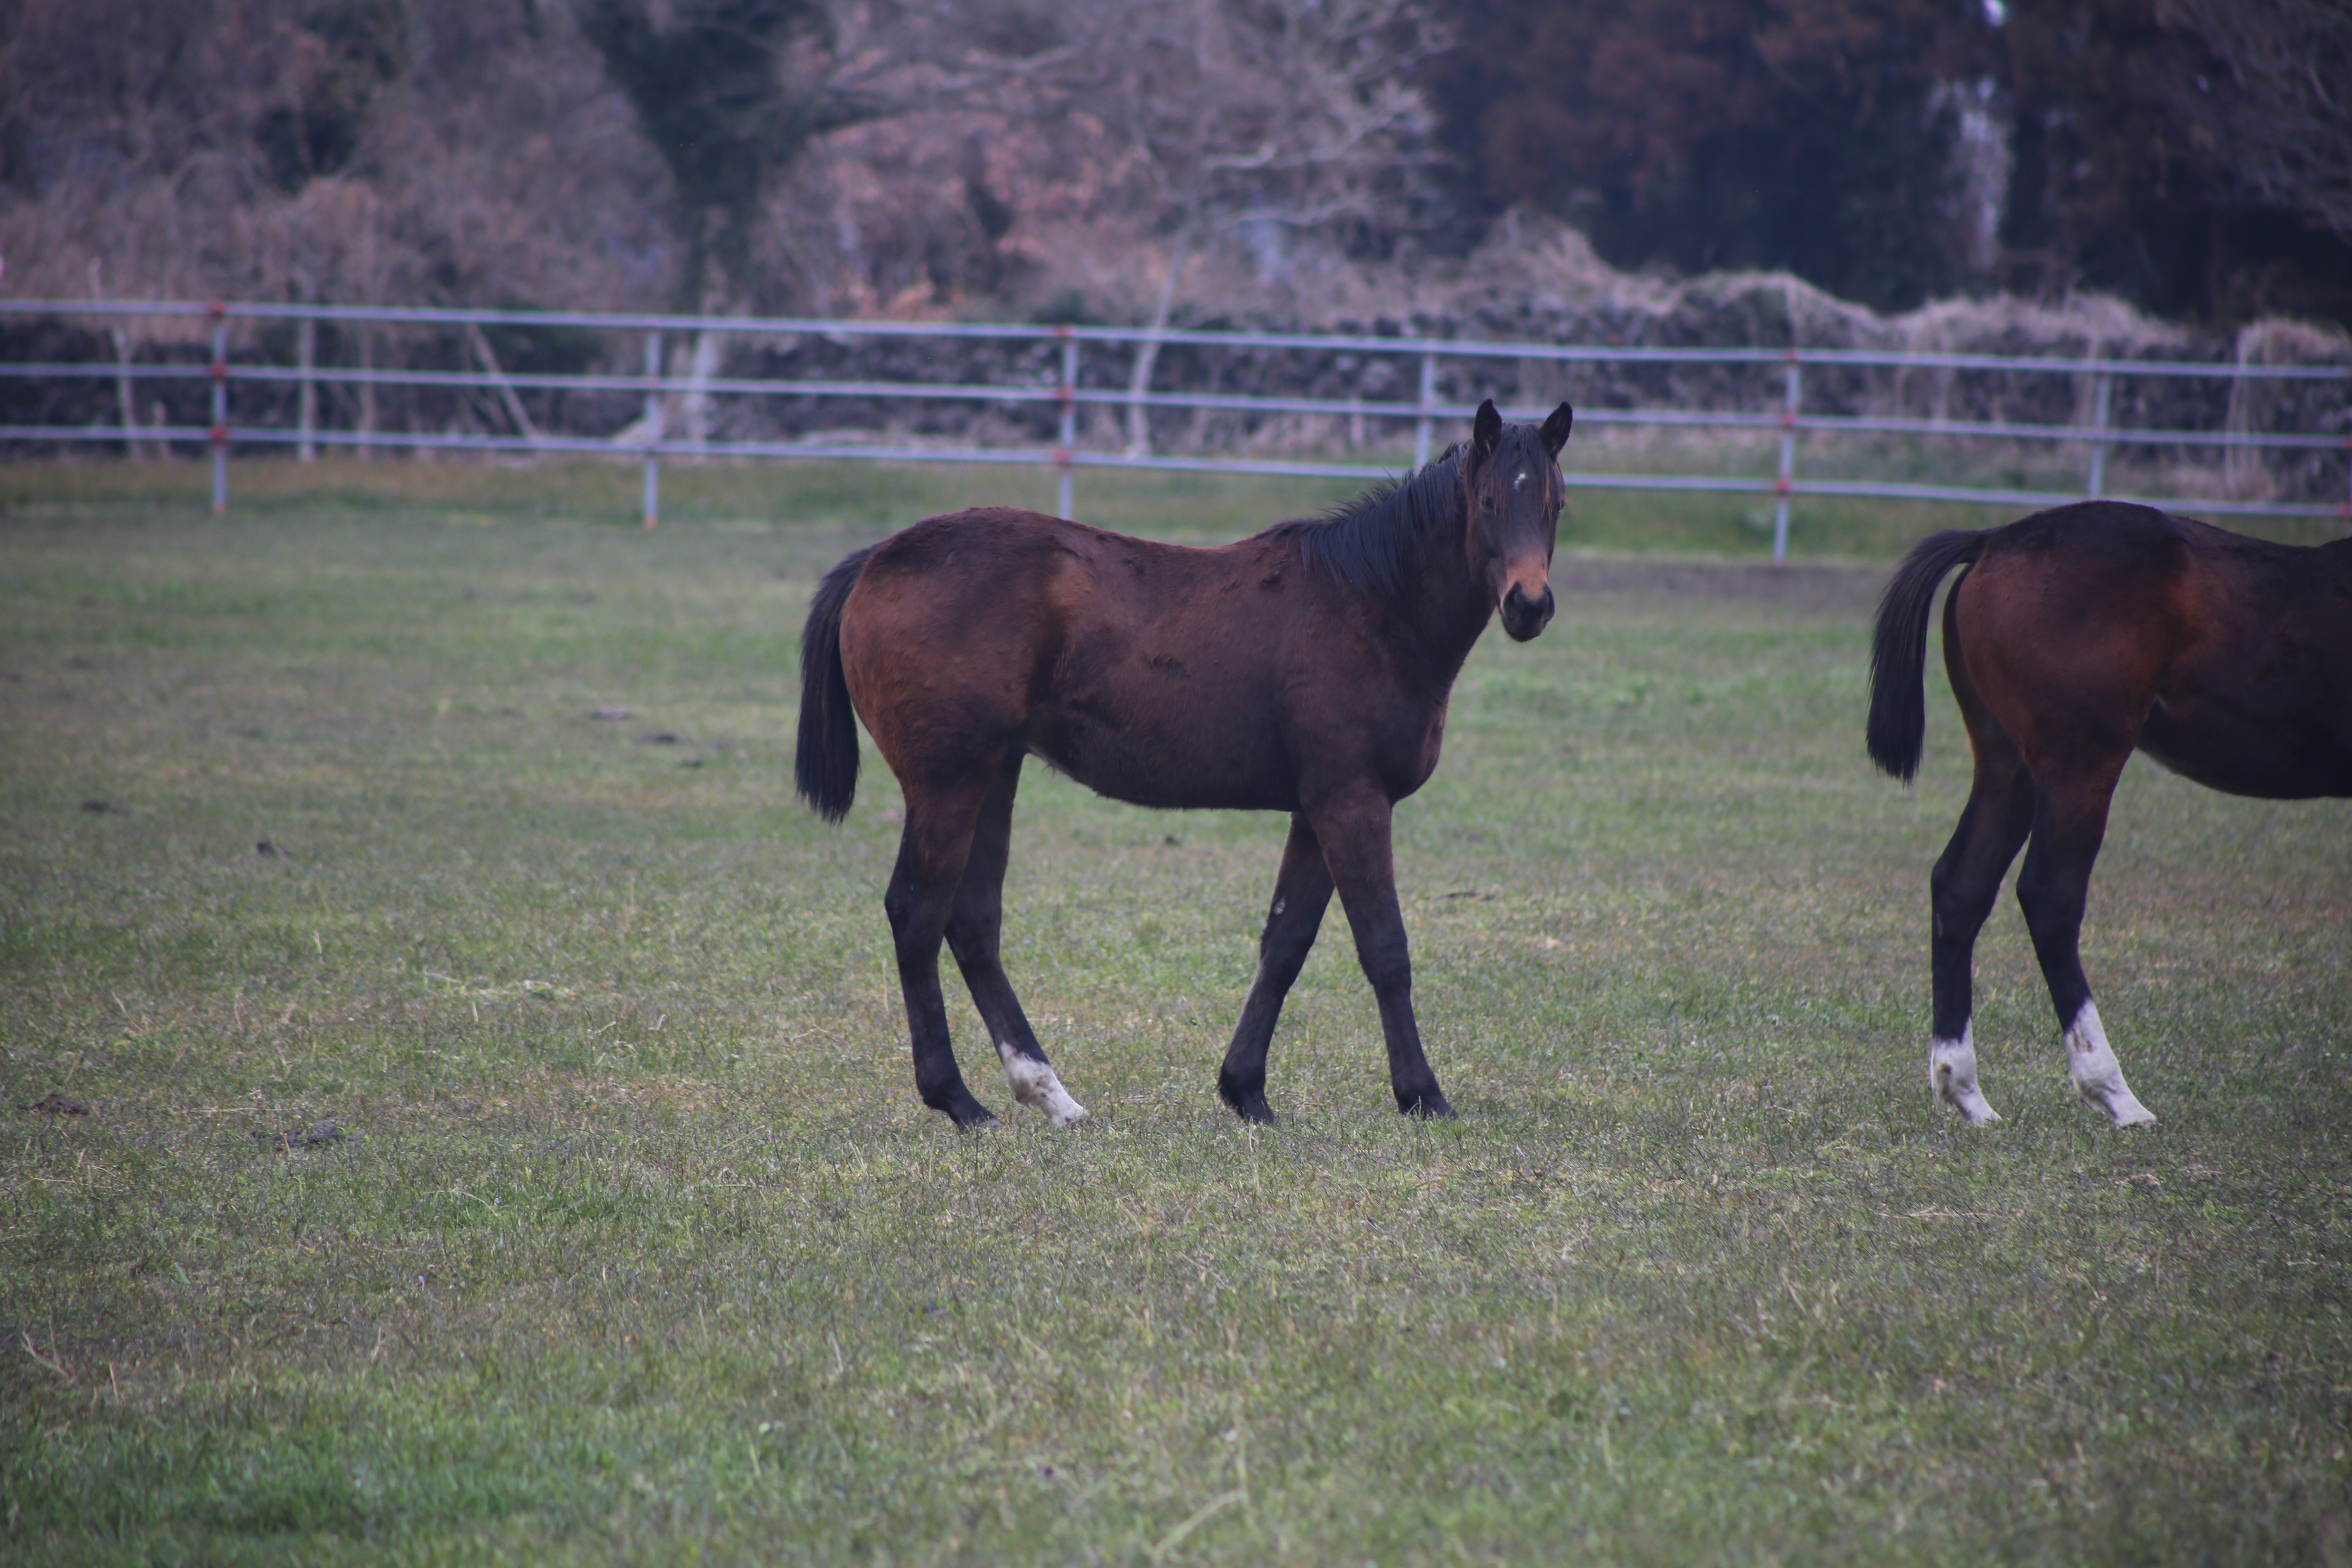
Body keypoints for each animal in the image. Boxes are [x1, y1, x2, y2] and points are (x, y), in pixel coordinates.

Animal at [795, 399, 1580, 1123]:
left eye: (1556, 503)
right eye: (1488, 502)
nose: (1529, 606)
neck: (1370, 606)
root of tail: (877, 560)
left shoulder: (1316, 809)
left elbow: (1285, 944)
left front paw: (1246, 1091)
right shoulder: (1352, 802)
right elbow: (1385, 948)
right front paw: (1423, 1094)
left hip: (994, 776)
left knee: (973, 923)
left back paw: (1051, 1096)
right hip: (948, 783)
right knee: (917, 914)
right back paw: (958, 1099)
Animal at [1862, 503, 2342, 1128]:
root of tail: (1992, 540)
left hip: (2008, 764)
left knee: (1962, 886)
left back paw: (1966, 1091)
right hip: (2080, 762)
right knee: (2050, 896)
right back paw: (2113, 1091)